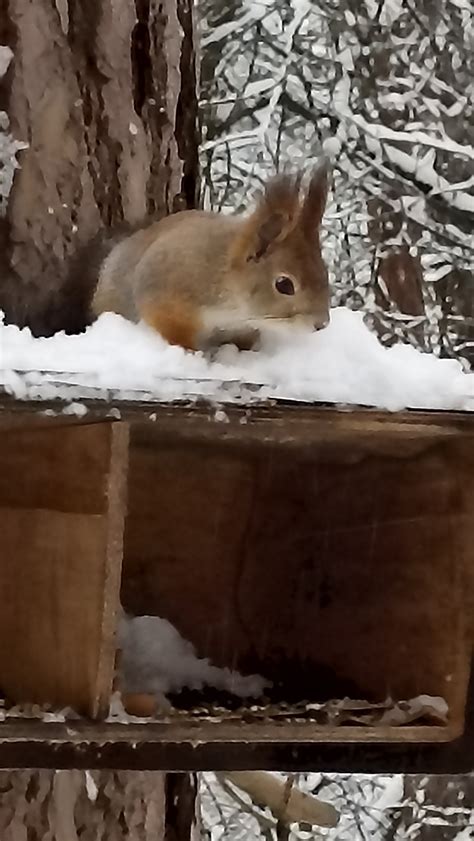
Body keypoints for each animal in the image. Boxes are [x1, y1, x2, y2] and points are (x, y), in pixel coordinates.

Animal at [91, 164, 330, 352]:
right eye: (284, 285)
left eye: (324, 272)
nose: (322, 324)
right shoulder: (166, 295)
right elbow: (169, 326)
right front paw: (190, 352)